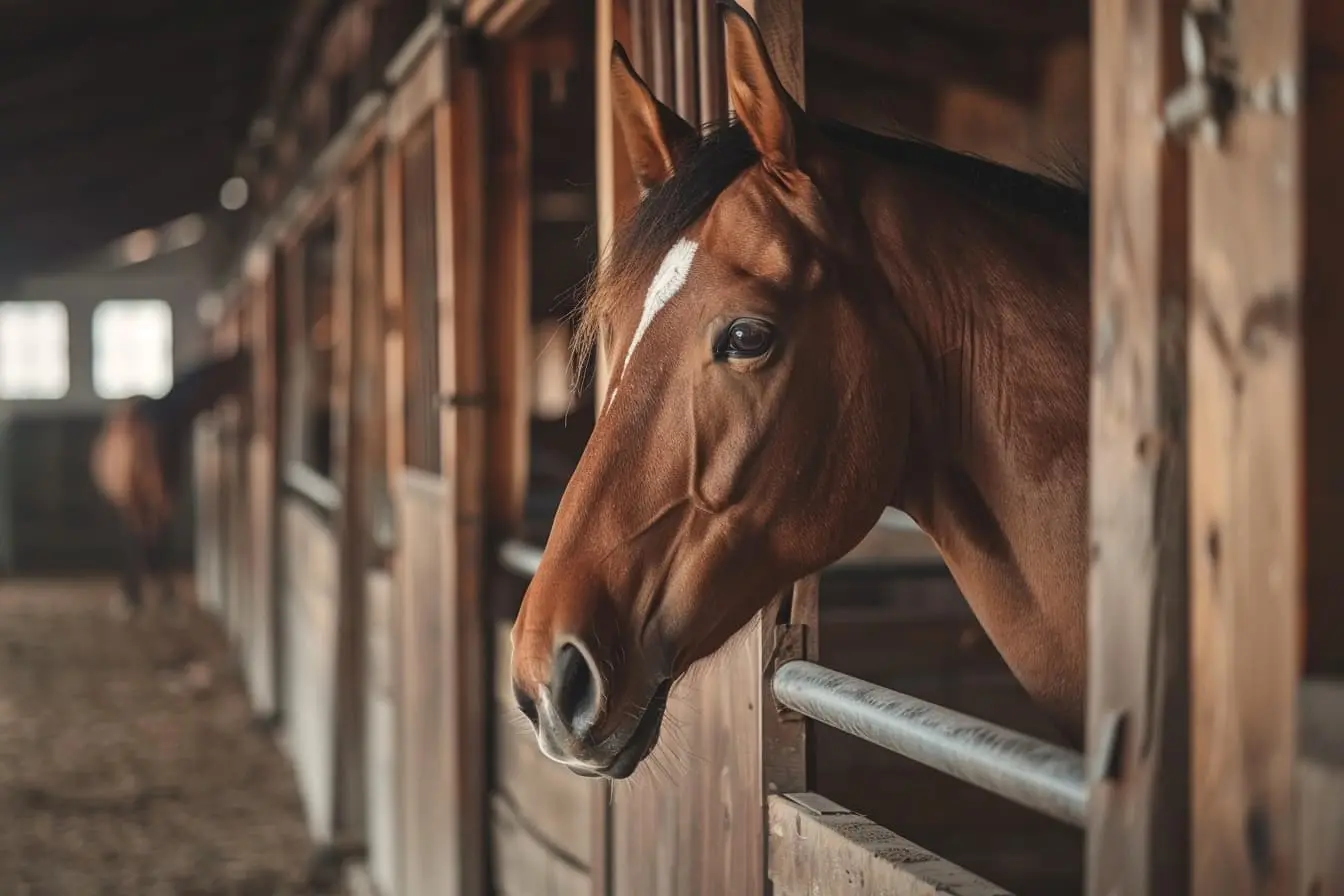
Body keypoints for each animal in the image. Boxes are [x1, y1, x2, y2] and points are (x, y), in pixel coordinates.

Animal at [94, 346, 254, 612]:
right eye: (237, 369)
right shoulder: (159, 494)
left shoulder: (150, 496)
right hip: (141, 496)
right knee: (143, 535)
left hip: (140, 496)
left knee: (144, 535)